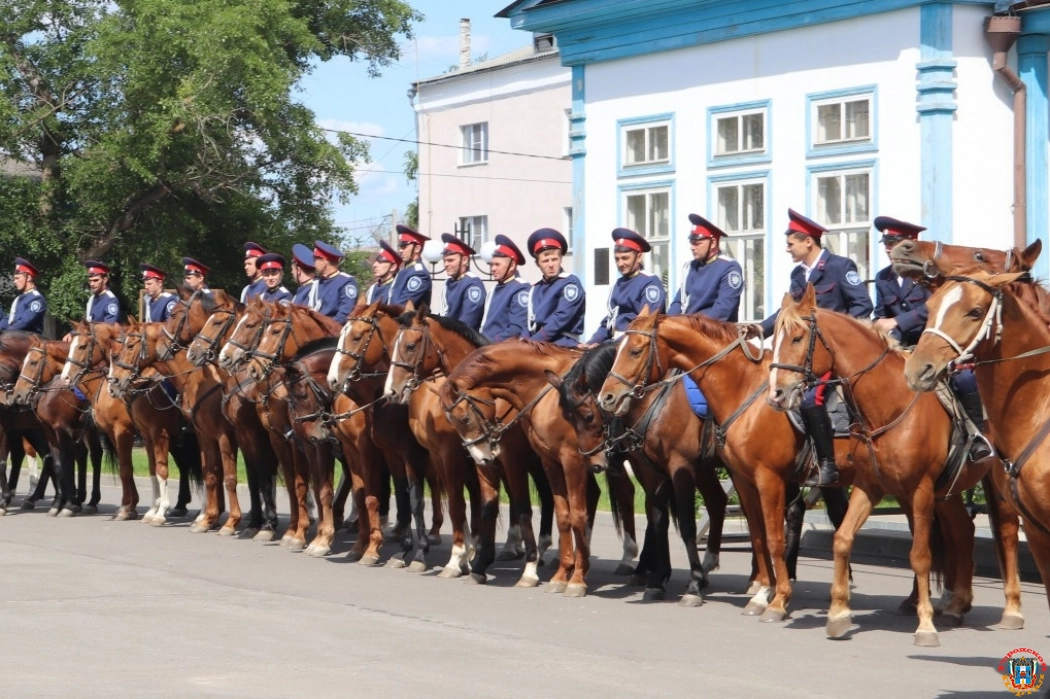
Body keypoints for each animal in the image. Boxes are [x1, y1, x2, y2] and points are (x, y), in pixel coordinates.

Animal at [768, 285, 995, 646]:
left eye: (798, 337)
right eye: (774, 337)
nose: (775, 394)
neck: (890, 404)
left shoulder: (920, 489)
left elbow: (920, 555)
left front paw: (925, 626)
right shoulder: (871, 485)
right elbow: (842, 538)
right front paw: (838, 614)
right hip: (944, 493)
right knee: (963, 531)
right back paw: (955, 604)